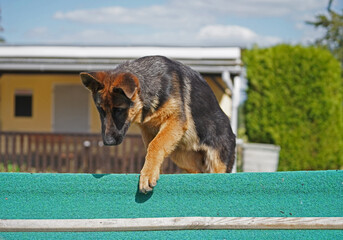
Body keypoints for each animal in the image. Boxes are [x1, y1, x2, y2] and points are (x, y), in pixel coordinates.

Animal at [80, 56, 236, 193]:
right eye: (101, 110)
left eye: (119, 110)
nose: (108, 142)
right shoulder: (148, 130)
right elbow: (152, 147)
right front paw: (151, 171)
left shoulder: (175, 120)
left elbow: (155, 145)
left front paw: (148, 174)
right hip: (181, 157)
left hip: (217, 162)